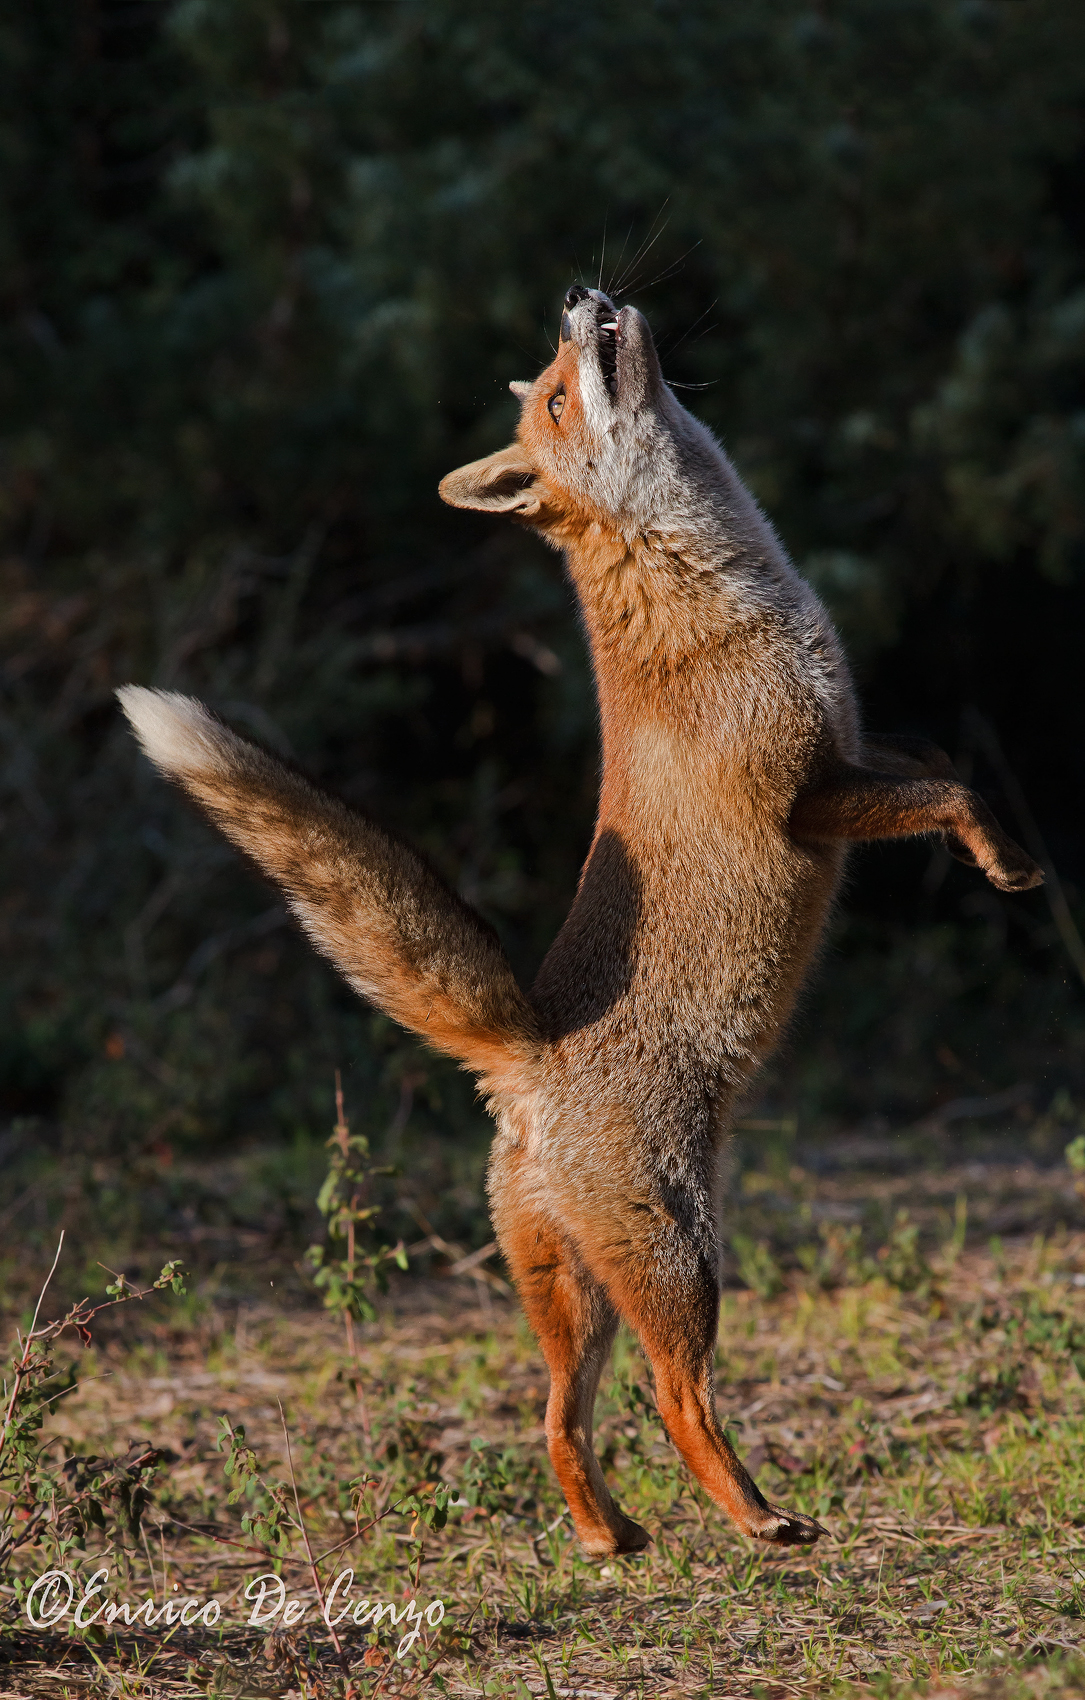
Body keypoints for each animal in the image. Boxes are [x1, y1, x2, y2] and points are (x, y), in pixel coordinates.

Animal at [119, 282, 1043, 1557]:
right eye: (557, 395)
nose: (580, 296)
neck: (711, 586)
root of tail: (527, 1054)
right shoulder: (805, 798)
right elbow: (952, 789)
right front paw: (1008, 861)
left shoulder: (854, 750)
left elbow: (940, 760)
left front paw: (1000, 850)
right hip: (681, 1263)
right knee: (674, 1396)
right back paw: (757, 1519)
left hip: (575, 1293)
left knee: (555, 1417)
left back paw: (610, 1536)